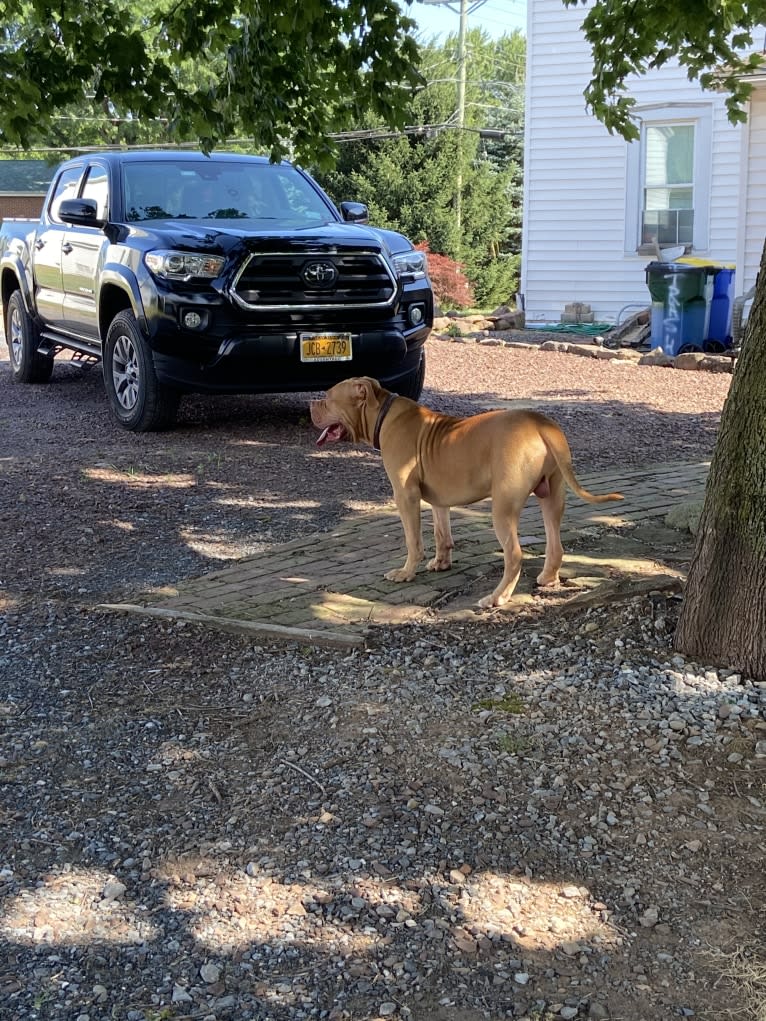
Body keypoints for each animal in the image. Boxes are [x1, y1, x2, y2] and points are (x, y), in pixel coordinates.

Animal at [312, 381, 625, 604]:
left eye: (328, 397)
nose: (312, 403)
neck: (383, 413)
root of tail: (540, 423)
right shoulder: (439, 501)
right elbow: (442, 534)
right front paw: (441, 563)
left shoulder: (405, 496)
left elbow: (414, 541)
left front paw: (406, 573)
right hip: (552, 496)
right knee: (555, 545)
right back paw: (547, 578)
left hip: (503, 507)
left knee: (514, 555)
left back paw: (497, 597)